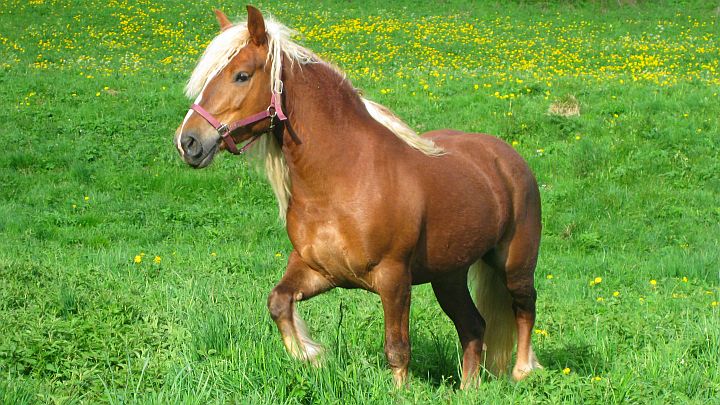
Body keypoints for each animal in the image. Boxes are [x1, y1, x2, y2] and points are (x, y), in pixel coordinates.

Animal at [174, 4, 544, 386]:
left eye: (242, 76)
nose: (188, 142)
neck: (343, 179)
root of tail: (508, 157)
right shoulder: (317, 269)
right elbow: (278, 303)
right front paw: (310, 357)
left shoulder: (394, 279)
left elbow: (397, 349)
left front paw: (398, 391)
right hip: (449, 276)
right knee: (473, 327)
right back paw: (469, 389)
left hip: (515, 263)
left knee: (524, 307)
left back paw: (522, 371)